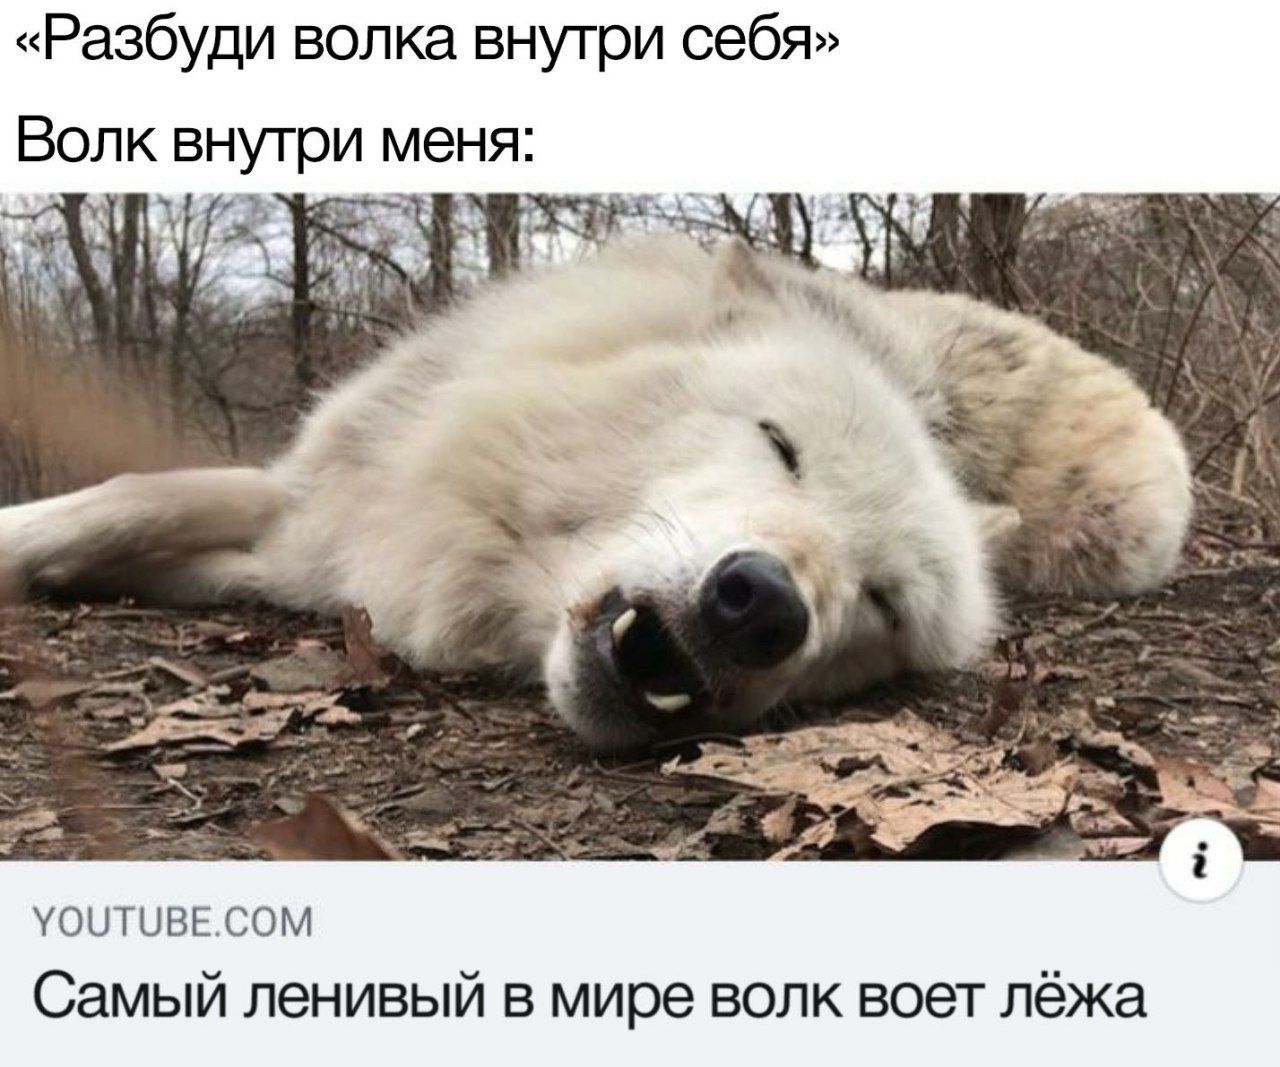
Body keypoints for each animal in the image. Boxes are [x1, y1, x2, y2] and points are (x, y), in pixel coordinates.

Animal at [0, 237, 1192, 750]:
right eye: (780, 445)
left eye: (883, 603)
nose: (762, 606)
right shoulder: (322, 513)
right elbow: (132, 495)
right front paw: (30, 543)